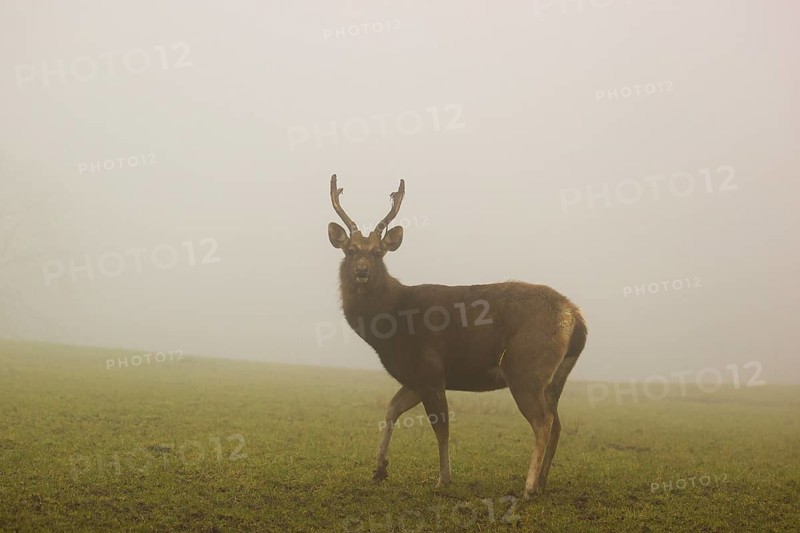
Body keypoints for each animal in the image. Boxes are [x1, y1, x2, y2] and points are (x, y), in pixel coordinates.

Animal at [327, 174, 587, 500]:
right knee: (558, 423)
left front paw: (443, 479)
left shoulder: (430, 370)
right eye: (350, 250)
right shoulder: (415, 378)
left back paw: (528, 487)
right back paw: (542, 482)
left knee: (543, 422)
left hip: (525, 366)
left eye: (377, 252)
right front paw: (379, 470)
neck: (391, 325)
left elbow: (442, 428)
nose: (361, 271)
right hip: (555, 377)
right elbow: (391, 409)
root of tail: (575, 317)